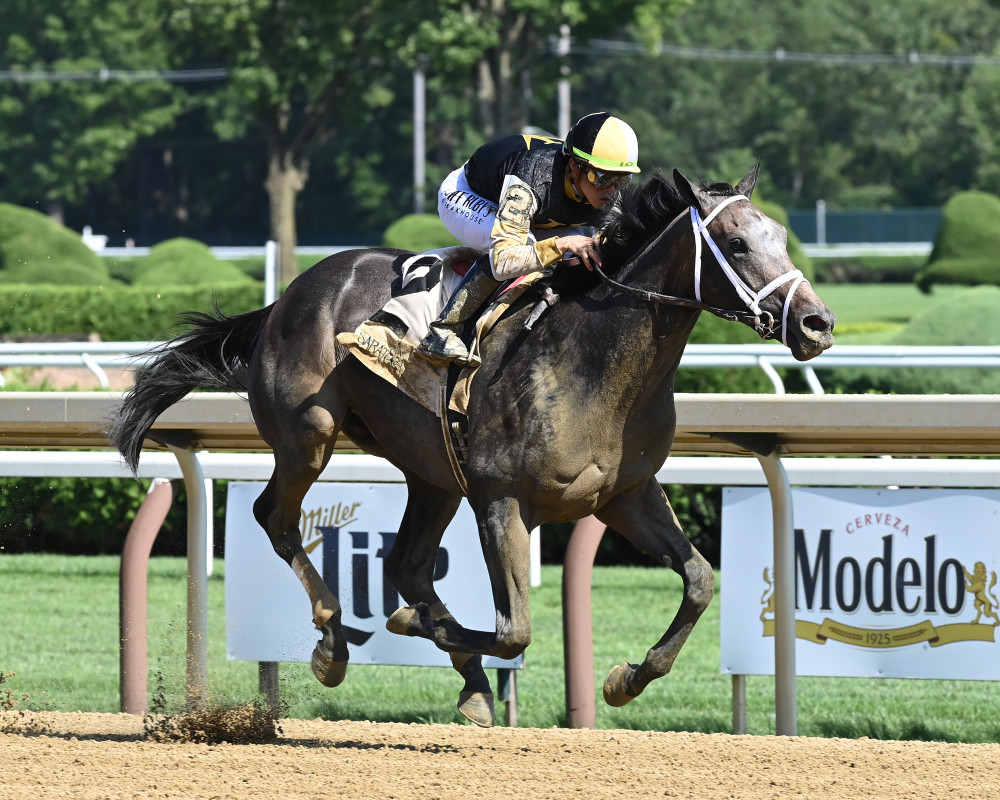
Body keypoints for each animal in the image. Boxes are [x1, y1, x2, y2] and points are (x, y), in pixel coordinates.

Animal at [109, 165, 835, 728]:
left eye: (779, 236)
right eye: (737, 242)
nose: (817, 322)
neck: (594, 360)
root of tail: (287, 296)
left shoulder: (625, 493)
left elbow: (700, 580)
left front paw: (627, 678)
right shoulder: (500, 499)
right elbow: (515, 629)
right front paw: (407, 627)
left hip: (431, 471)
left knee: (406, 563)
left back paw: (470, 684)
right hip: (309, 435)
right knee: (277, 519)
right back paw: (334, 642)